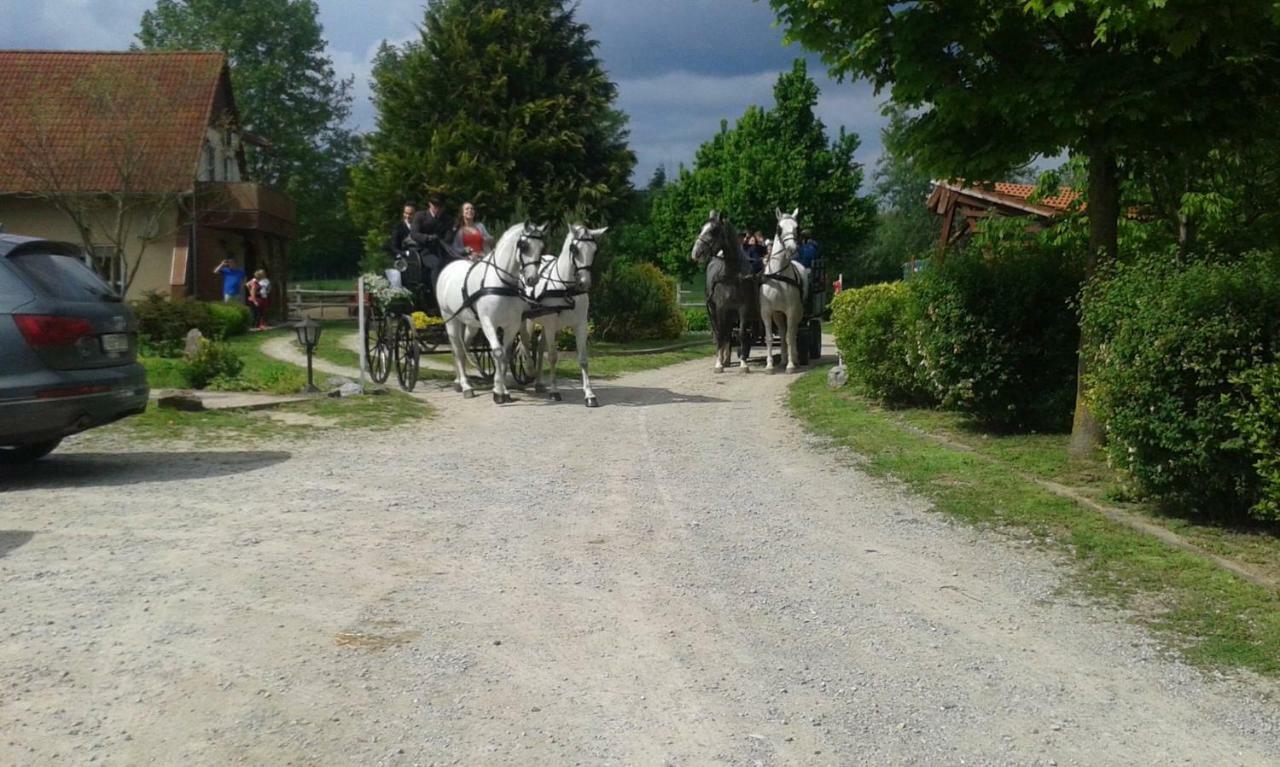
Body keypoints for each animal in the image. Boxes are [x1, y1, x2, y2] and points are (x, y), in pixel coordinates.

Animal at [435, 221, 545, 404]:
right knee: (457, 348)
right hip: (450, 319)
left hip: (471, 323)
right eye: (523, 246)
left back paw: (459, 382)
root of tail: (448, 268)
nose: (532, 279)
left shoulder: (511, 325)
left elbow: (505, 354)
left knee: (463, 346)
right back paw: (466, 386)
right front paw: (498, 392)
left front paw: (503, 390)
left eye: (542, 247)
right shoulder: (488, 323)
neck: (501, 283)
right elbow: (497, 352)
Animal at [519, 224, 604, 407]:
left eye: (595, 250)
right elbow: (552, 357)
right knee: (524, 342)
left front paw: (590, 395)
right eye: (575, 249)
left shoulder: (581, 325)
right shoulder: (551, 323)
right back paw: (528, 370)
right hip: (529, 320)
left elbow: (583, 359)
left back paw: (538, 383)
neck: (566, 289)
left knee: (539, 345)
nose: (584, 283)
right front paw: (555, 392)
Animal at [757, 208, 808, 373]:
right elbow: (770, 338)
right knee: (782, 330)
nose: (792, 249)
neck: (778, 276)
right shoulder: (767, 312)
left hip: (798, 312)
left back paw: (794, 359)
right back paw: (783, 360)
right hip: (778, 314)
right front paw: (769, 366)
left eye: (796, 228)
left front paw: (791, 365)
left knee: (792, 333)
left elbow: (789, 337)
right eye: (779, 228)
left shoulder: (791, 310)